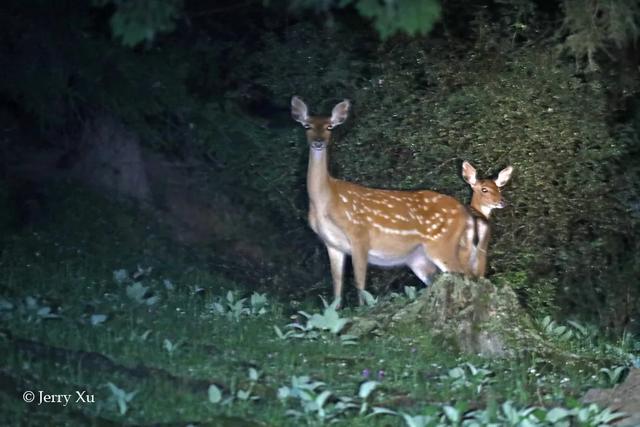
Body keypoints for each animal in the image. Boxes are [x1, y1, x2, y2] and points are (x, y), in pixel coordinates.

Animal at [292, 95, 472, 306]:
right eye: (307, 125)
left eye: (330, 127)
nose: (318, 142)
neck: (325, 202)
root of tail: (465, 213)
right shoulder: (332, 244)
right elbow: (337, 287)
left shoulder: (359, 233)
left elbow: (360, 282)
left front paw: (361, 309)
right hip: (418, 257)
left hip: (442, 243)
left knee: (465, 274)